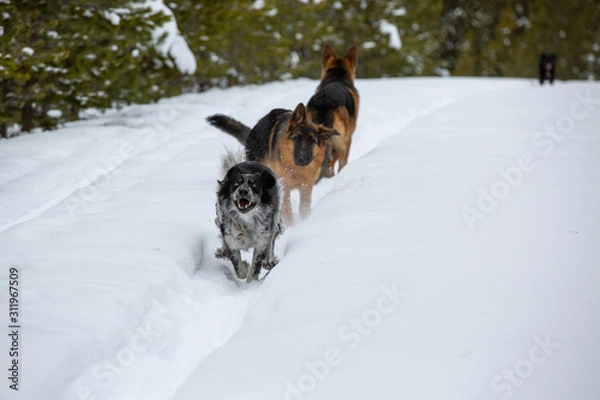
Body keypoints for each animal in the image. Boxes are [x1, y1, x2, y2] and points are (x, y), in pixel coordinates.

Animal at [214, 152, 282, 282]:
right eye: (236, 183)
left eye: (254, 185)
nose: (243, 191)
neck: (246, 220)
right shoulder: (231, 239)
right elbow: (239, 269)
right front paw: (244, 267)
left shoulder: (261, 241)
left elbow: (256, 265)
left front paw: (252, 281)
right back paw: (223, 252)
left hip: (275, 215)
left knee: (271, 239)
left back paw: (269, 261)